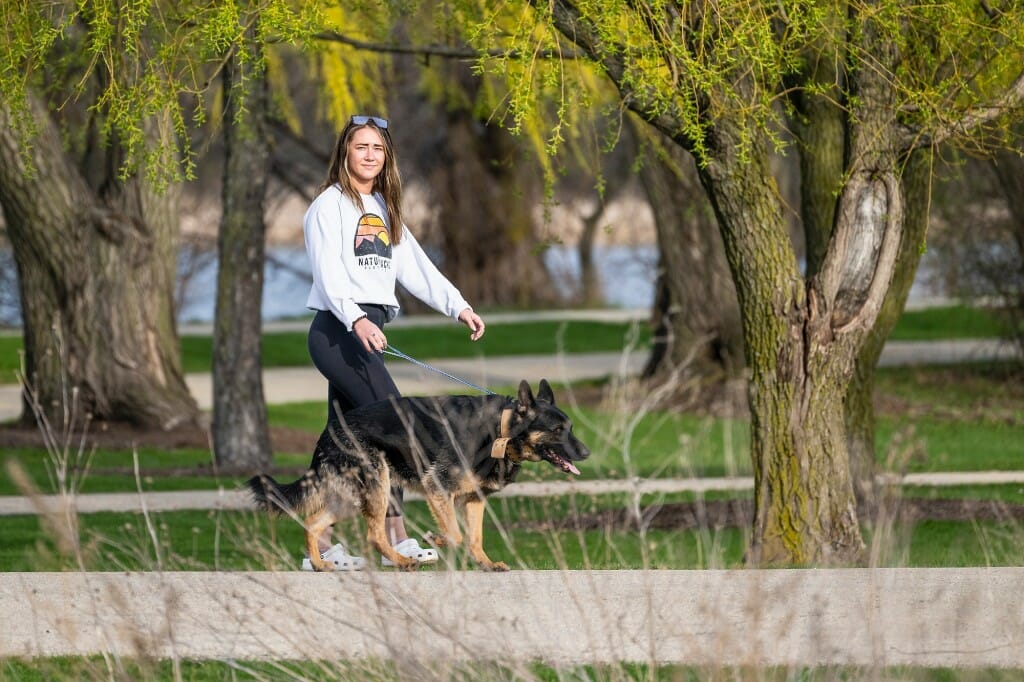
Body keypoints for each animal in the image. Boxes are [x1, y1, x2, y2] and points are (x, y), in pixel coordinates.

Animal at [245, 376, 593, 569]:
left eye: (571, 427)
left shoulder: (473, 501)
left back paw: (320, 564)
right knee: (373, 534)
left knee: (313, 523)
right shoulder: (439, 487)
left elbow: (475, 538)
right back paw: (401, 561)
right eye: (557, 430)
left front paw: (485, 564)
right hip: (377, 488)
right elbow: (455, 534)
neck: (502, 429)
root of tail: (327, 432)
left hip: (351, 498)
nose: (587, 453)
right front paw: (437, 539)